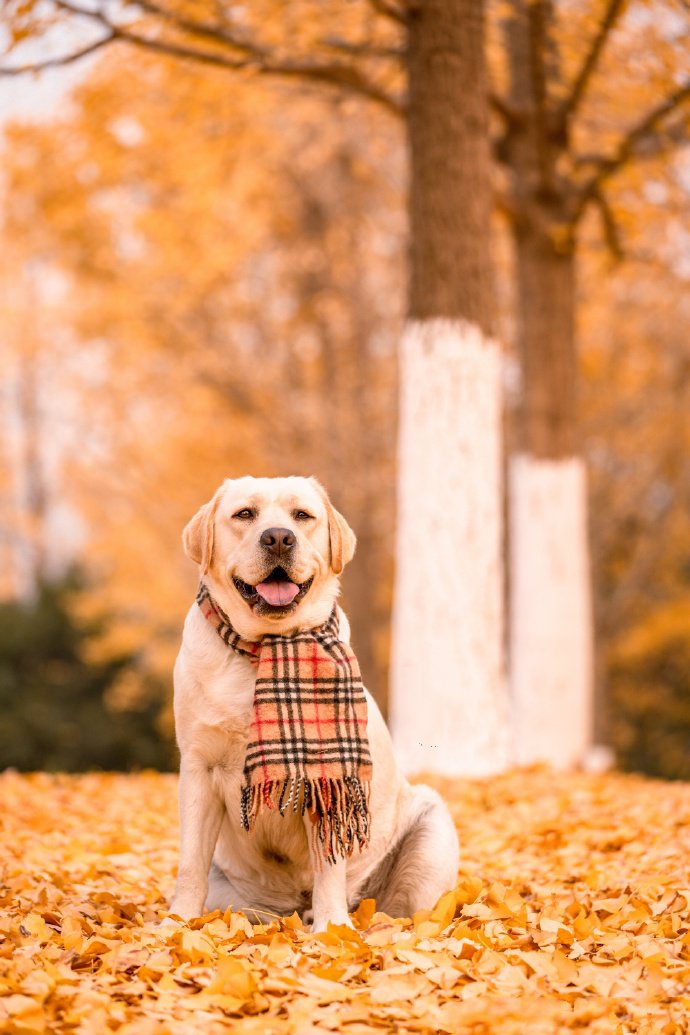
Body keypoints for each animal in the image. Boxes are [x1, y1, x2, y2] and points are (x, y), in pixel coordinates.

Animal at [166, 476, 459, 931]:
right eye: (244, 514)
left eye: (302, 516)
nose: (278, 537)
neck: (265, 650)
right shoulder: (198, 767)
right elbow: (190, 865)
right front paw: (177, 925)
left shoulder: (326, 779)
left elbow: (328, 865)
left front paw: (332, 929)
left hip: (432, 829)